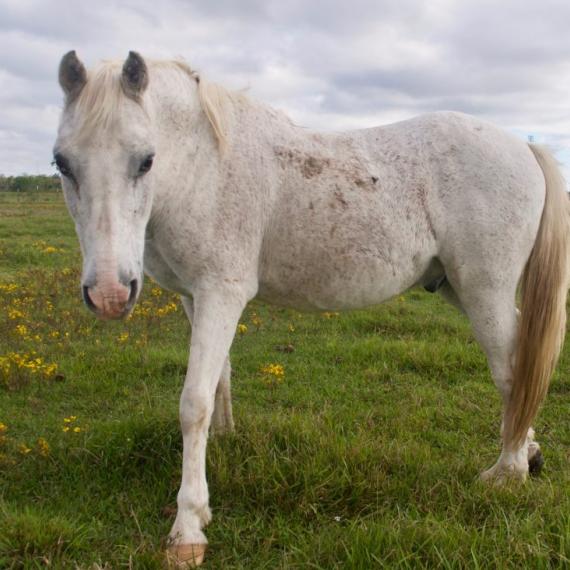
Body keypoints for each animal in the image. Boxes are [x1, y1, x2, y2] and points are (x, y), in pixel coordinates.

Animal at [54, 52, 568, 564]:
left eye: (146, 160)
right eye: (61, 163)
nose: (108, 294)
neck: (206, 168)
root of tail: (524, 147)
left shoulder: (222, 292)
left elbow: (193, 402)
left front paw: (189, 527)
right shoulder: (194, 298)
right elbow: (220, 377)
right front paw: (224, 441)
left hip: (485, 289)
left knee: (512, 372)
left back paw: (507, 471)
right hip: (459, 288)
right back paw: (530, 450)